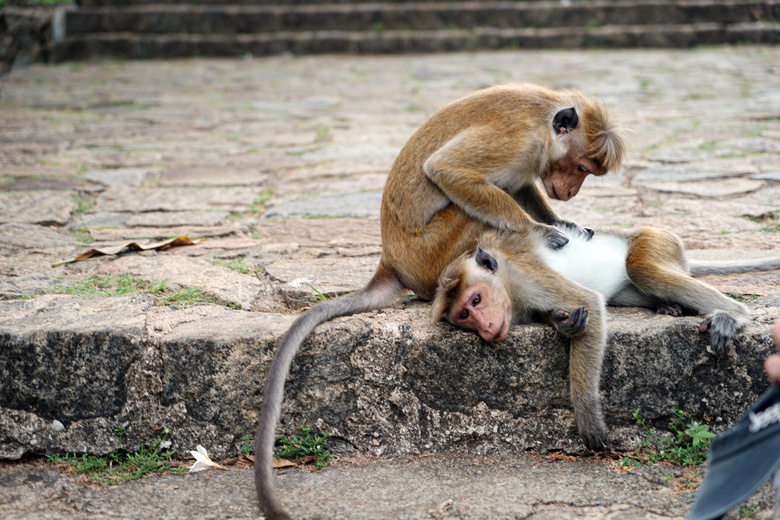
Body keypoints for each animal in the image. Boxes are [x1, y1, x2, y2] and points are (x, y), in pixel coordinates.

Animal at [432, 225, 780, 448]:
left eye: (476, 300)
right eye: (464, 315)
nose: (485, 327)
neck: (506, 280)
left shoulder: (528, 275)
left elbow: (589, 301)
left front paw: (587, 416)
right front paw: (562, 322)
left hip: (654, 240)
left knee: (642, 269)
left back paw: (730, 314)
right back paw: (667, 304)